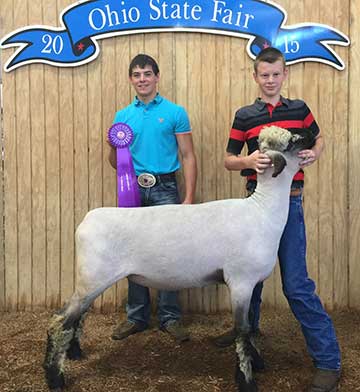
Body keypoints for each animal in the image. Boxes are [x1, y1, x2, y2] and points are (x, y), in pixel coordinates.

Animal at [44, 126, 316, 392]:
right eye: (292, 140)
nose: (313, 133)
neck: (262, 211)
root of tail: (86, 221)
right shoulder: (240, 282)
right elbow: (242, 330)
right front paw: (246, 381)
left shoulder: (252, 283)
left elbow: (251, 328)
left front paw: (257, 363)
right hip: (93, 278)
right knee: (60, 322)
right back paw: (55, 378)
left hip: (91, 280)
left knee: (76, 318)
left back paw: (75, 353)